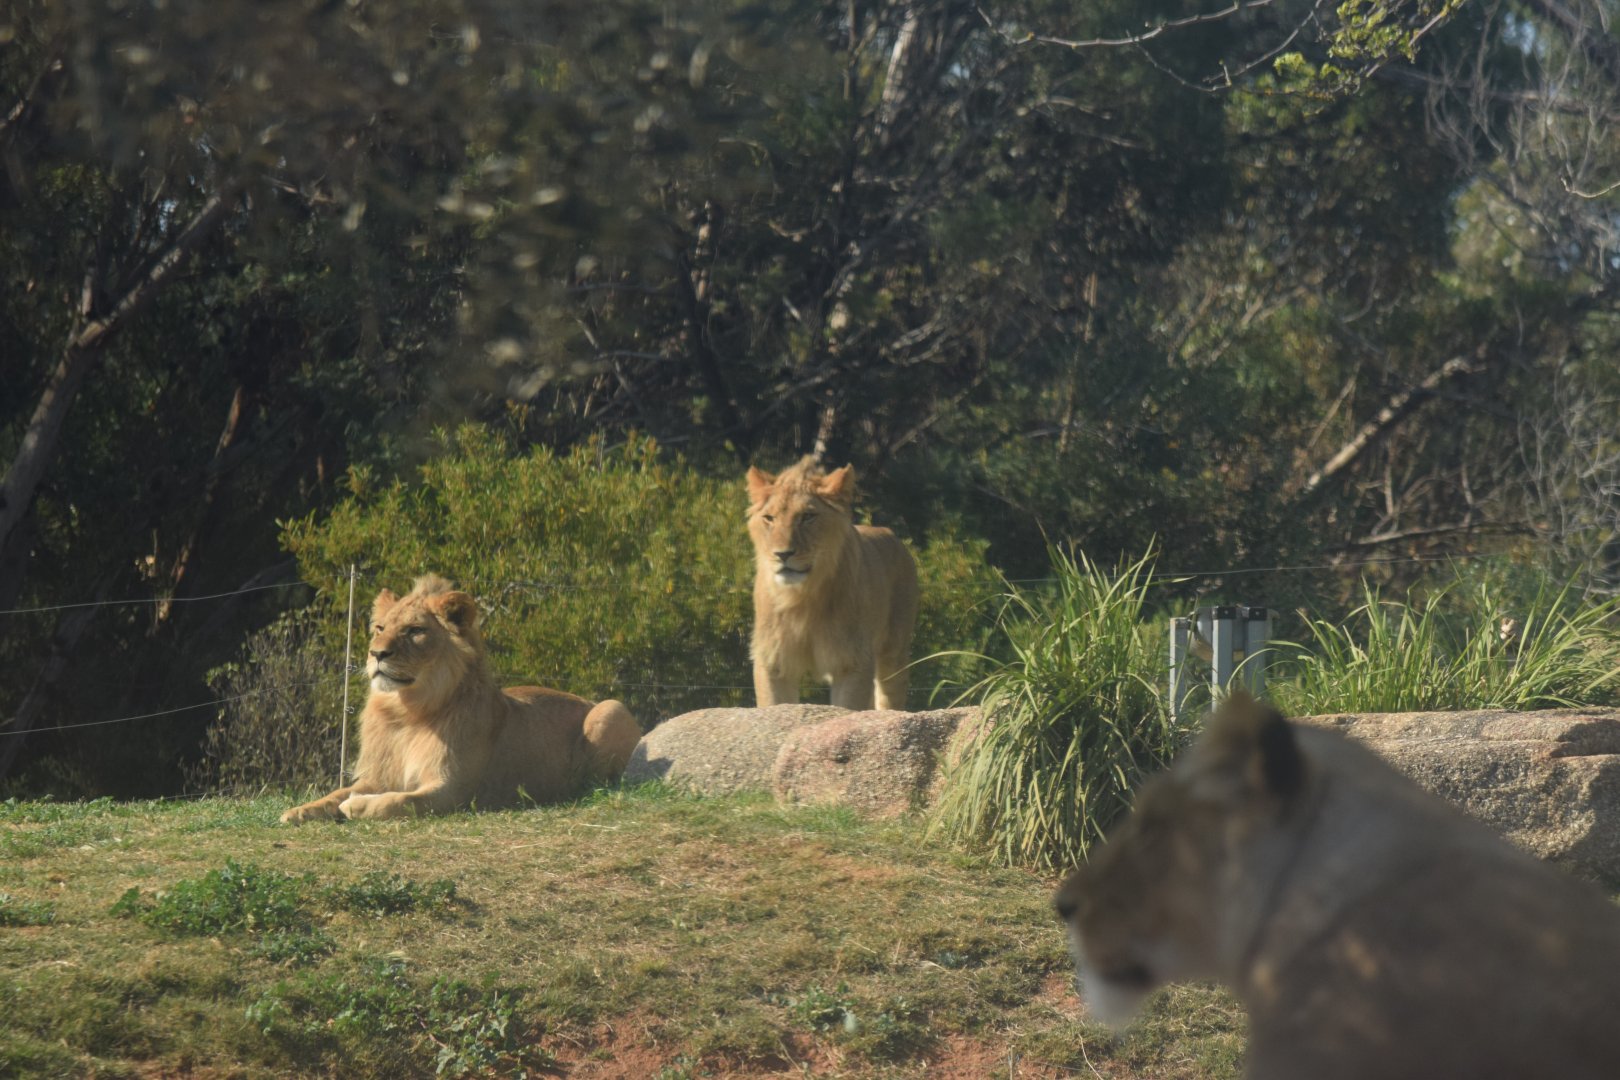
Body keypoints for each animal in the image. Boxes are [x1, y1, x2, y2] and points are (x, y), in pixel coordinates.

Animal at [281, 574, 641, 823]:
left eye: (415, 631)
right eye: (380, 628)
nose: (376, 654)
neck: (408, 713)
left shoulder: (453, 791)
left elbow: (399, 801)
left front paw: (355, 805)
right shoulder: (381, 776)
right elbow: (334, 792)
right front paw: (298, 811)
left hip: (610, 708)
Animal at [746, 457, 920, 711]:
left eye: (807, 517)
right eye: (769, 518)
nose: (782, 554)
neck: (801, 598)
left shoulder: (852, 661)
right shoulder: (773, 661)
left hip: (894, 651)